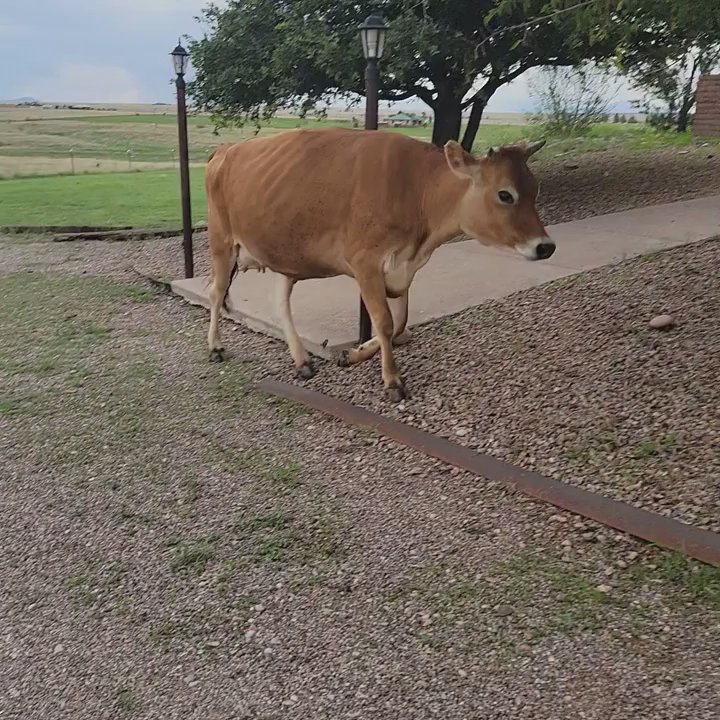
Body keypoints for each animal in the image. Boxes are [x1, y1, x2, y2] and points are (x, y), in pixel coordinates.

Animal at [204, 128, 554, 401]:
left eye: (535, 190)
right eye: (505, 195)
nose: (546, 246)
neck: (417, 191)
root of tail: (225, 150)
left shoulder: (403, 268)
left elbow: (400, 324)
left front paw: (353, 355)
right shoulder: (366, 264)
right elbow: (385, 322)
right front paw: (393, 381)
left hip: (285, 254)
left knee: (279, 303)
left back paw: (302, 361)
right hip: (222, 240)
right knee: (217, 291)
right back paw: (216, 347)